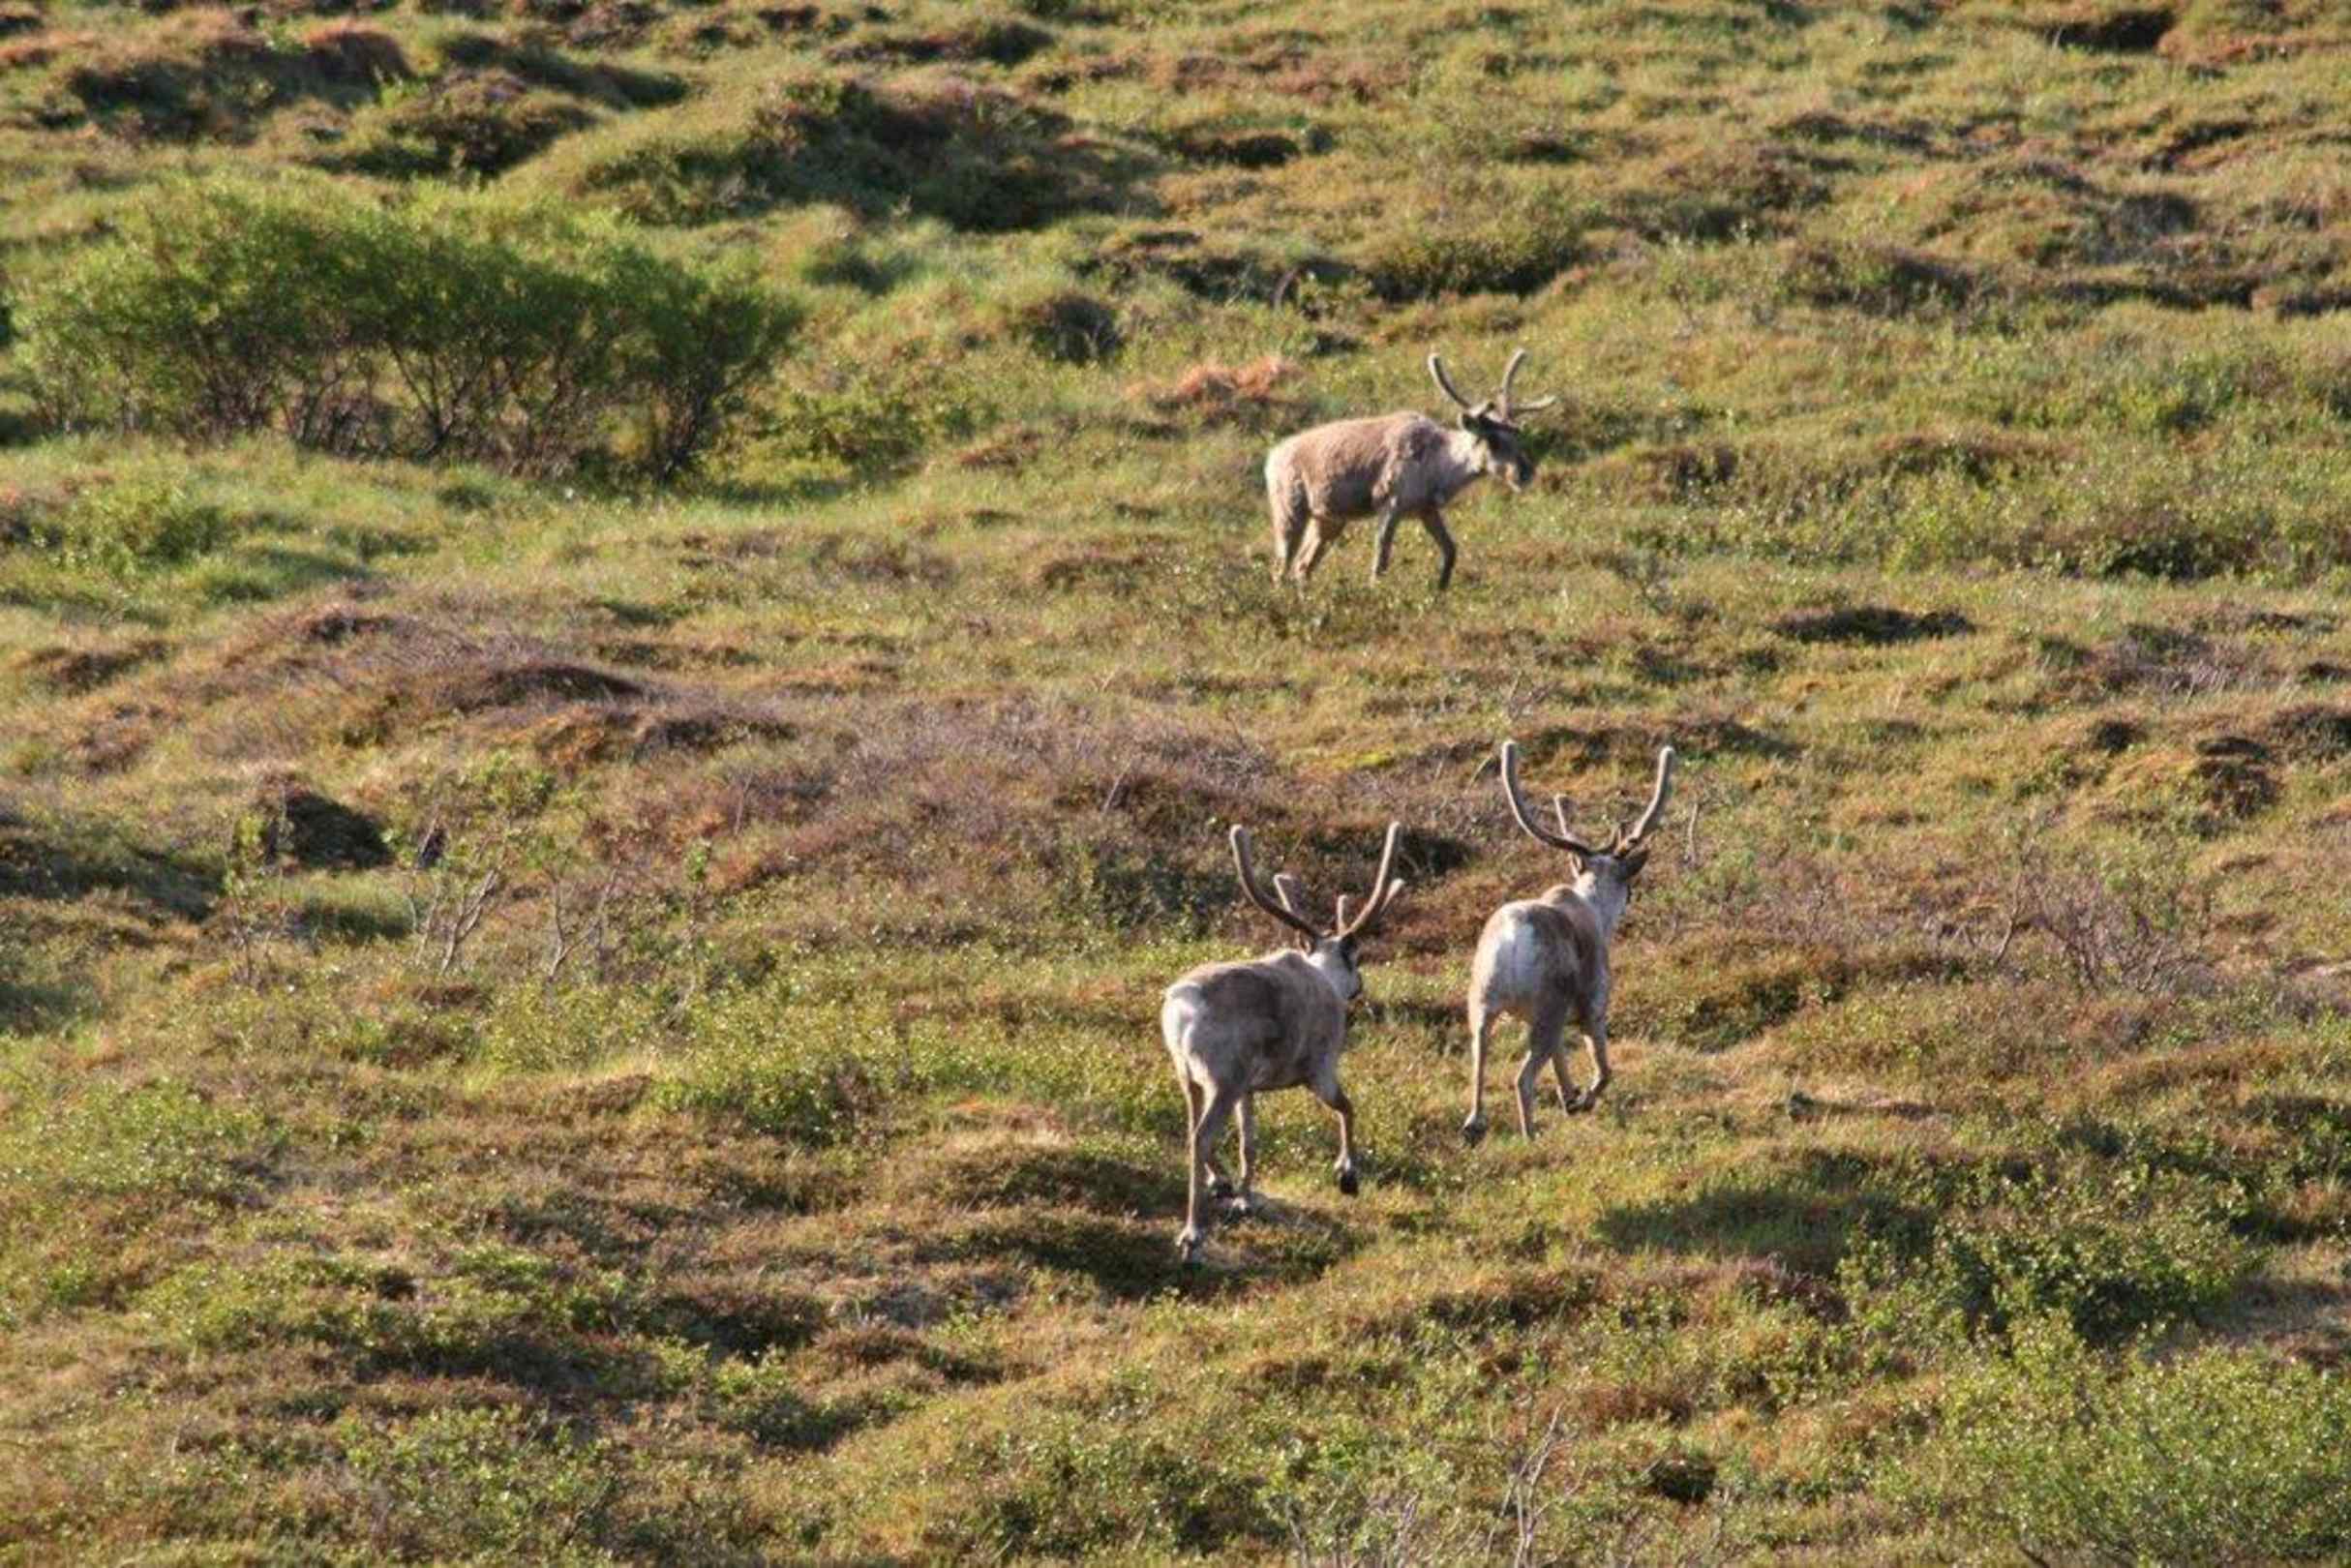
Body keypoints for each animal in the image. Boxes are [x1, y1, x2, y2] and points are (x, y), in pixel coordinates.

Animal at [1159, 821, 1406, 1262]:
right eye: (1356, 959)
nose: (1359, 986)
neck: (1323, 976)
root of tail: (1181, 1007)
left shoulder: (1250, 1088)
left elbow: (1250, 1141)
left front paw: (1245, 1197)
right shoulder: (1320, 1068)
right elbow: (1348, 1109)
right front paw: (1347, 1175)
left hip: (1189, 1074)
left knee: (1190, 1133)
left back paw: (1215, 1190)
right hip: (1222, 1078)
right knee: (1201, 1137)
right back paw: (1193, 1234)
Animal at [1263, 347, 1559, 591]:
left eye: (1518, 435)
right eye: (1492, 440)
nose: (1525, 473)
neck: (1439, 467)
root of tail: (1272, 457)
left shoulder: (1427, 510)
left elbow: (1451, 550)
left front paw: (1441, 590)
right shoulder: (1390, 504)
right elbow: (1381, 559)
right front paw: (1375, 591)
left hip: (1329, 518)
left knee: (1303, 566)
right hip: (1290, 509)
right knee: (1281, 566)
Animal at [1462, 740, 1675, 1144]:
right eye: (1630, 886)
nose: (1631, 900)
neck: (1592, 906)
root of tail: (1514, 938)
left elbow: (1562, 1061)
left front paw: (1569, 1096)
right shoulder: (1593, 1005)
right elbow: (1605, 1071)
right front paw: (1583, 1100)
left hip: (1482, 1003)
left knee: (1479, 1058)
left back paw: (1474, 1124)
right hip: (1549, 1007)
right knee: (1522, 1079)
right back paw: (1530, 1136)